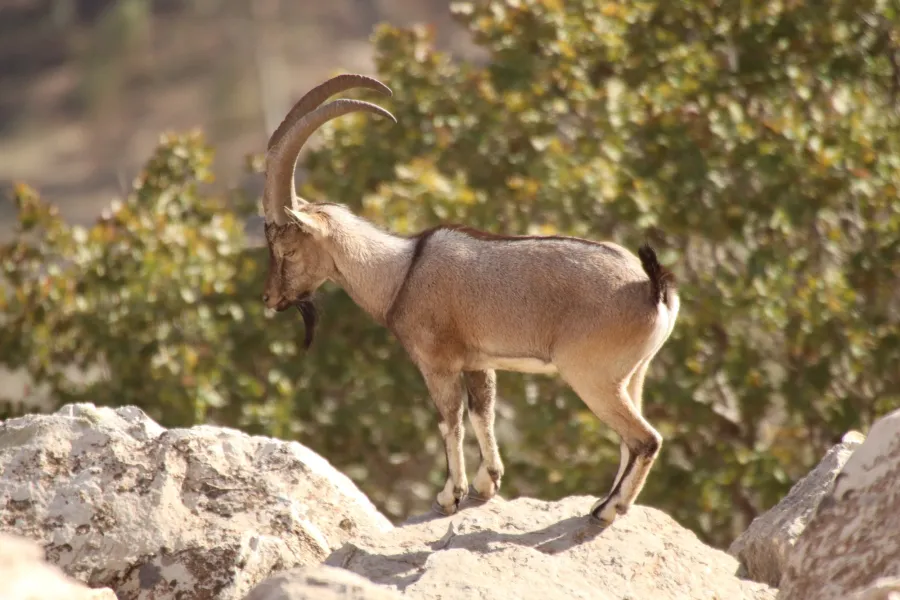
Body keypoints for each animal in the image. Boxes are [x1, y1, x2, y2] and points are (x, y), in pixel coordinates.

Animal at [260, 73, 680, 526]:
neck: (400, 273)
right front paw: (487, 483)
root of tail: (652, 288)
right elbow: (483, 412)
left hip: (592, 375)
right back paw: (610, 502)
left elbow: (450, 421)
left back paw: (607, 508)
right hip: (633, 374)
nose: (268, 297)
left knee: (645, 438)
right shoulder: (479, 362)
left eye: (286, 248)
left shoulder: (437, 363)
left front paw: (450, 495)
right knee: (629, 440)